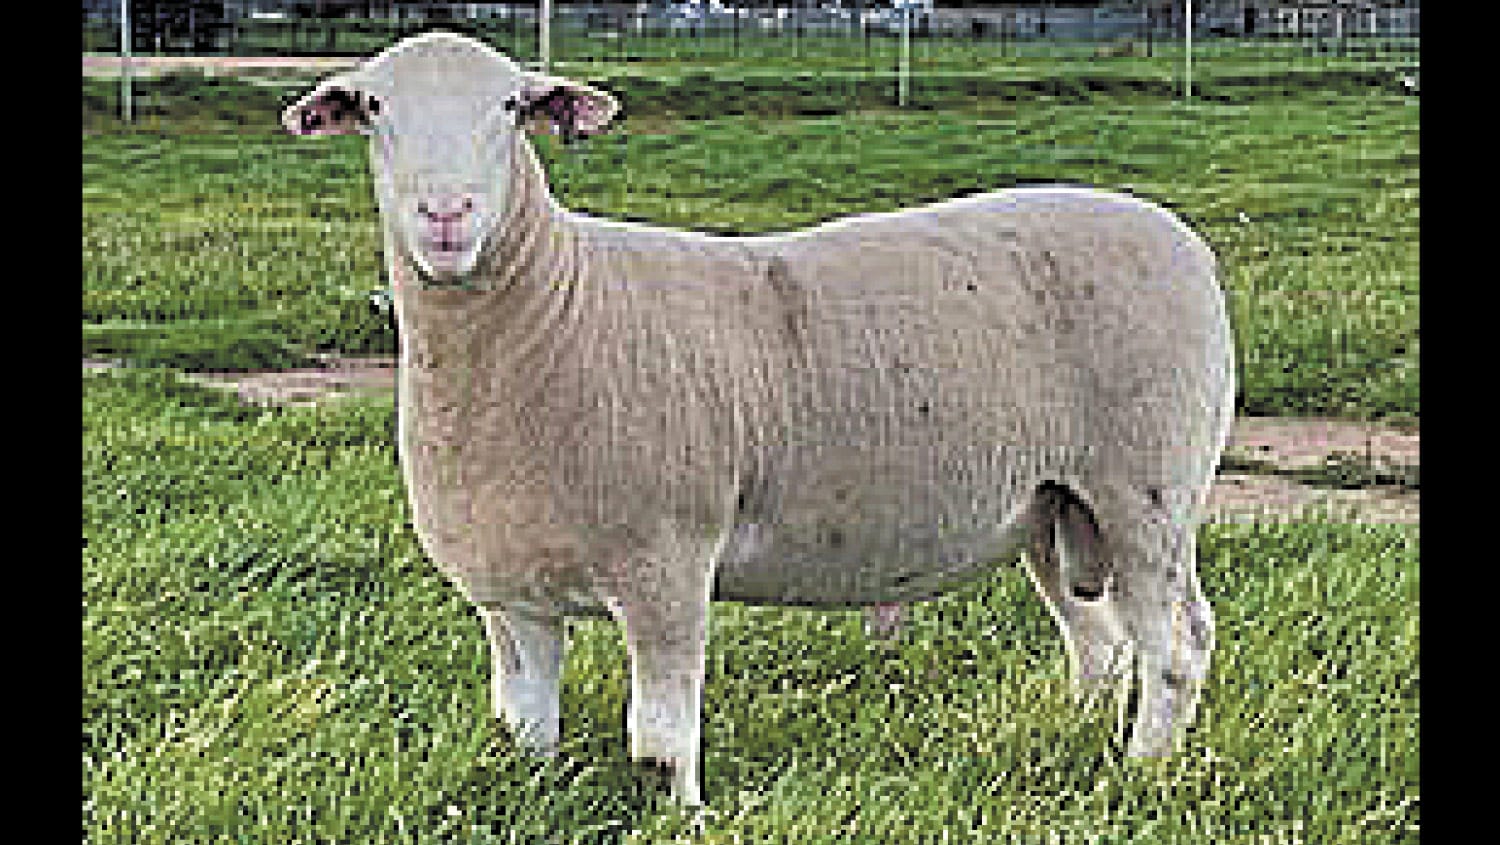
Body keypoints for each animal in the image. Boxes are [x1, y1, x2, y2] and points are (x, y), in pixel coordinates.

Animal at [283, 31, 1235, 806]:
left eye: (513, 107)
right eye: (374, 107)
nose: (446, 217)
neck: (556, 307)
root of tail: (1182, 239)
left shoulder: (667, 562)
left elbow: (659, 740)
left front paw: (684, 816)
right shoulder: (510, 593)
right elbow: (523, 725)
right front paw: (536, 791)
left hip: (1146, 489)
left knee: (1177, 644)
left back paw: (1143, 772)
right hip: (1051, 503)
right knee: (1100, 642)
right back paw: (1074, 743)